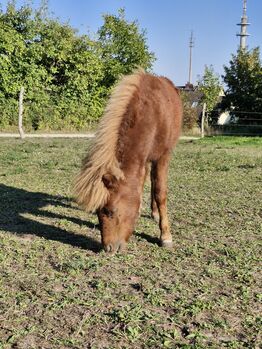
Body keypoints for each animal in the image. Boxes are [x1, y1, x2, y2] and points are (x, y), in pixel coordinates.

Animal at [74, 68, 182, 253]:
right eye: (97, 212)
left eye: (111, 211)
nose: (108, 248)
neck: (152, 113)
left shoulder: (163, 157)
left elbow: (160, 192)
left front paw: (166, 236)